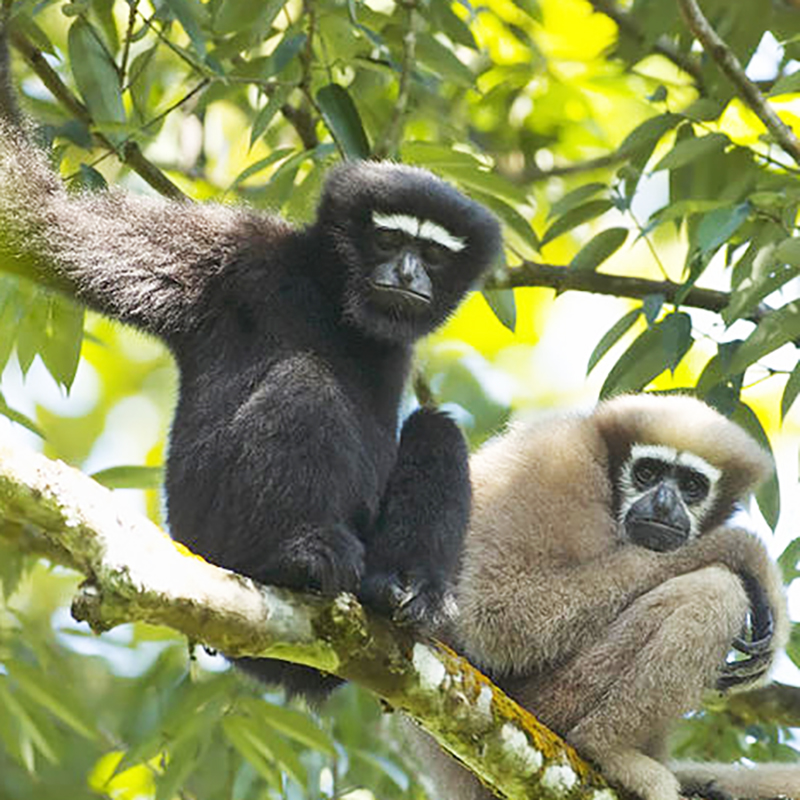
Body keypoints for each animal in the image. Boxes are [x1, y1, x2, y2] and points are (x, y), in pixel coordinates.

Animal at [0, 22, 501, 699]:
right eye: (389, 239)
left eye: (434, 254)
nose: (406, 273)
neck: (326, 294)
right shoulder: (226, 253)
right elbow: (38, 217)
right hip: (214, 537)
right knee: (305, 382)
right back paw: (297, 555)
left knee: (435, 427)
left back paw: (405, 588)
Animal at [411, 394, 798, 800]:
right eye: (647, 473)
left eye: (692, 485)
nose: (664, 503)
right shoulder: (556, 462)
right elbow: (503, 618)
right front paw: (748, 554)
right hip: (547, 702)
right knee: (715, 590)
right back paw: (607, 749)